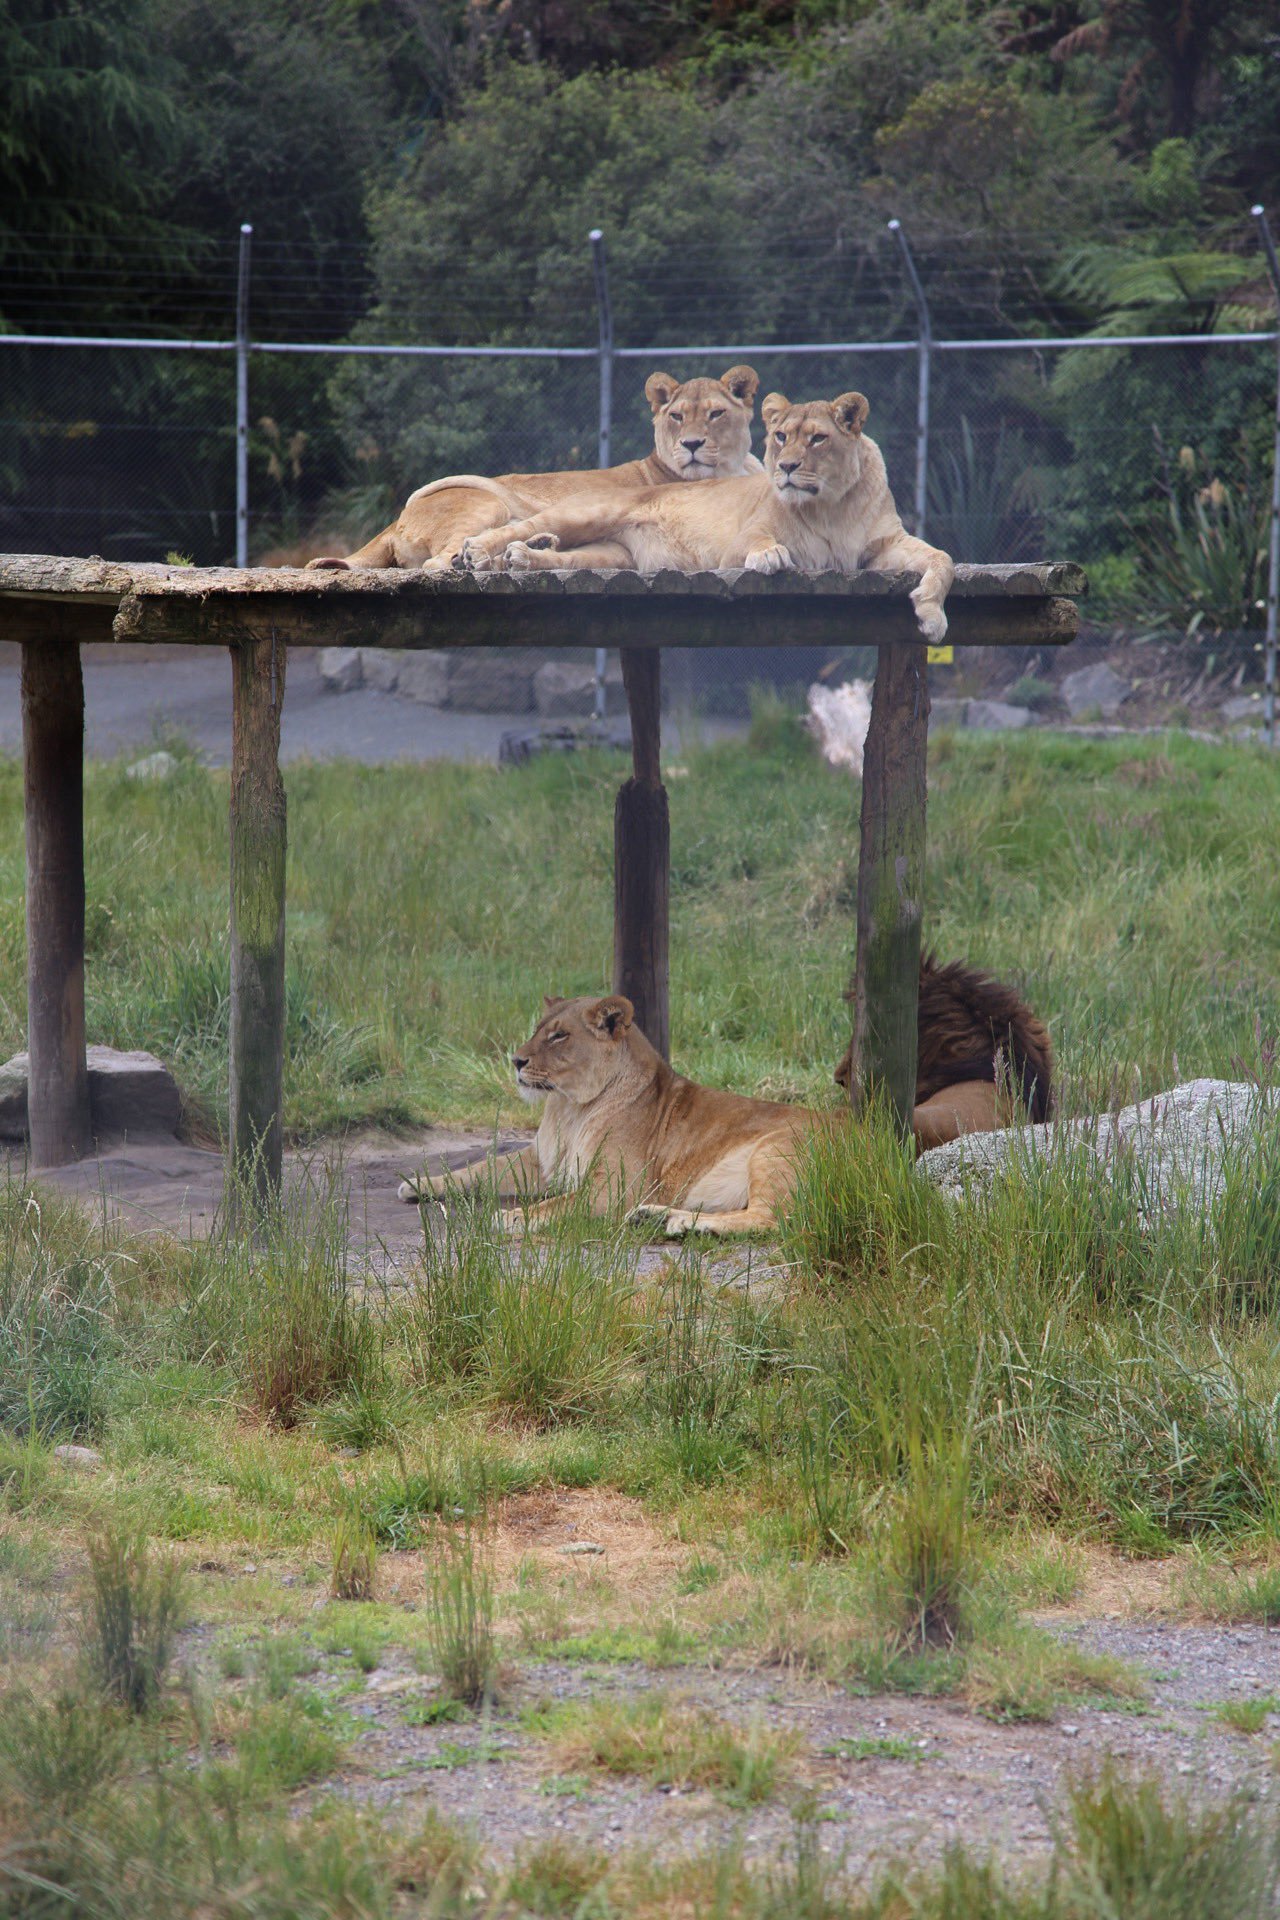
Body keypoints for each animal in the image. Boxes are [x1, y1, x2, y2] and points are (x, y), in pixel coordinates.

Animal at [305, 366, 763, 574]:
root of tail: (392, 522)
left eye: (716, 414)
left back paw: (533, 545)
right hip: (486, 500)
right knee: (437, 563)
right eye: (677, 417)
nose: (691, 444)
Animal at [458, 388, 955, 642]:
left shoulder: (883, 547)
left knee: (560, 555)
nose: (786, 467)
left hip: (611, 556)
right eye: (780, 436)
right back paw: (478, 553)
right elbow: (760, 543)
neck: (832, 503)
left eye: (817, 439)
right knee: (520, 527)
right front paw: (771, 557)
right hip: (590, 510)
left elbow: (943, 559)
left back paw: (526, 556)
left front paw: (931, 616)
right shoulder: (740, 542)